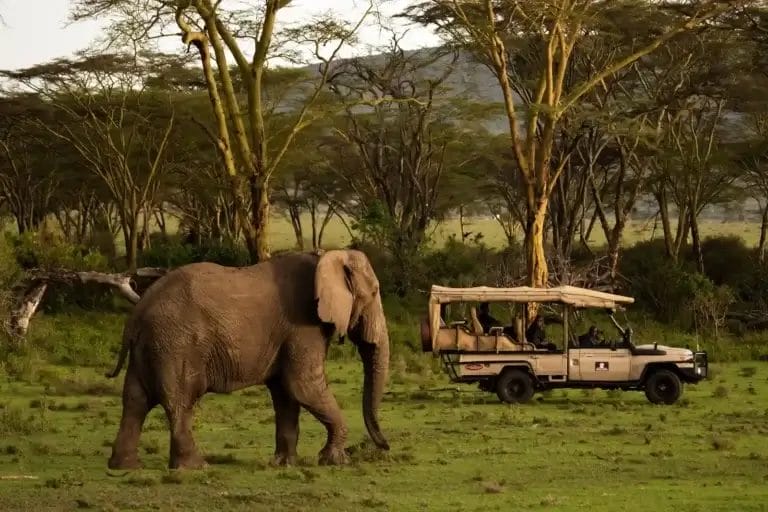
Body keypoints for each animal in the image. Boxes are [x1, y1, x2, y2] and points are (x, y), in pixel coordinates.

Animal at [104, 249, 391, 470]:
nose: (385, 446)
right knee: (180, 400)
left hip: (150, 346)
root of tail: (138, 310)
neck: (325, 256)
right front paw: (335, 461)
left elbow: (285, 393)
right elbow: (303, 385)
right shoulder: (303, 325)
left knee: (135, 401)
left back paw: (125, 466)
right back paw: (195, 467)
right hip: (176, 344)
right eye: (375, 292)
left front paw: (284, 464)